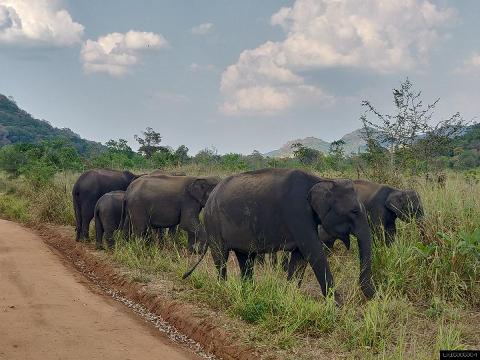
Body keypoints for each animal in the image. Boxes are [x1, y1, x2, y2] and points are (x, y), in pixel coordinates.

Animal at [183, 169, 376, 300]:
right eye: (354, 211)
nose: (373, 297)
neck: (320, 181)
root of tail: (210, 198)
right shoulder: (297, 212)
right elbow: (313, 251)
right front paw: (337, 307)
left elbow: (300, 257)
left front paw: (288, 297)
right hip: (213, 223)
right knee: (221, 257)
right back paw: (223, 288)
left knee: (246, 259)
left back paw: (248, 292)